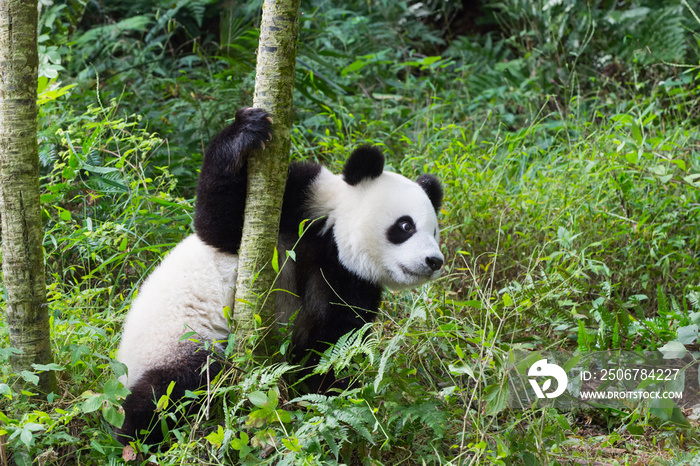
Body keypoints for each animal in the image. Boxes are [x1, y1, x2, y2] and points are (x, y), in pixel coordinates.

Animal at [115, 106, 442, 444]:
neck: (332, 241)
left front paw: (331, 399)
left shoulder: (348, 281)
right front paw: (246, 129)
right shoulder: (300, 199)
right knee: (177, 386)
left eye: (434, 231)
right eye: (406, 226)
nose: (434, 261)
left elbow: (329, 344)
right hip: (178, 340)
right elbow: (219, 226)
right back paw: (136, 435)